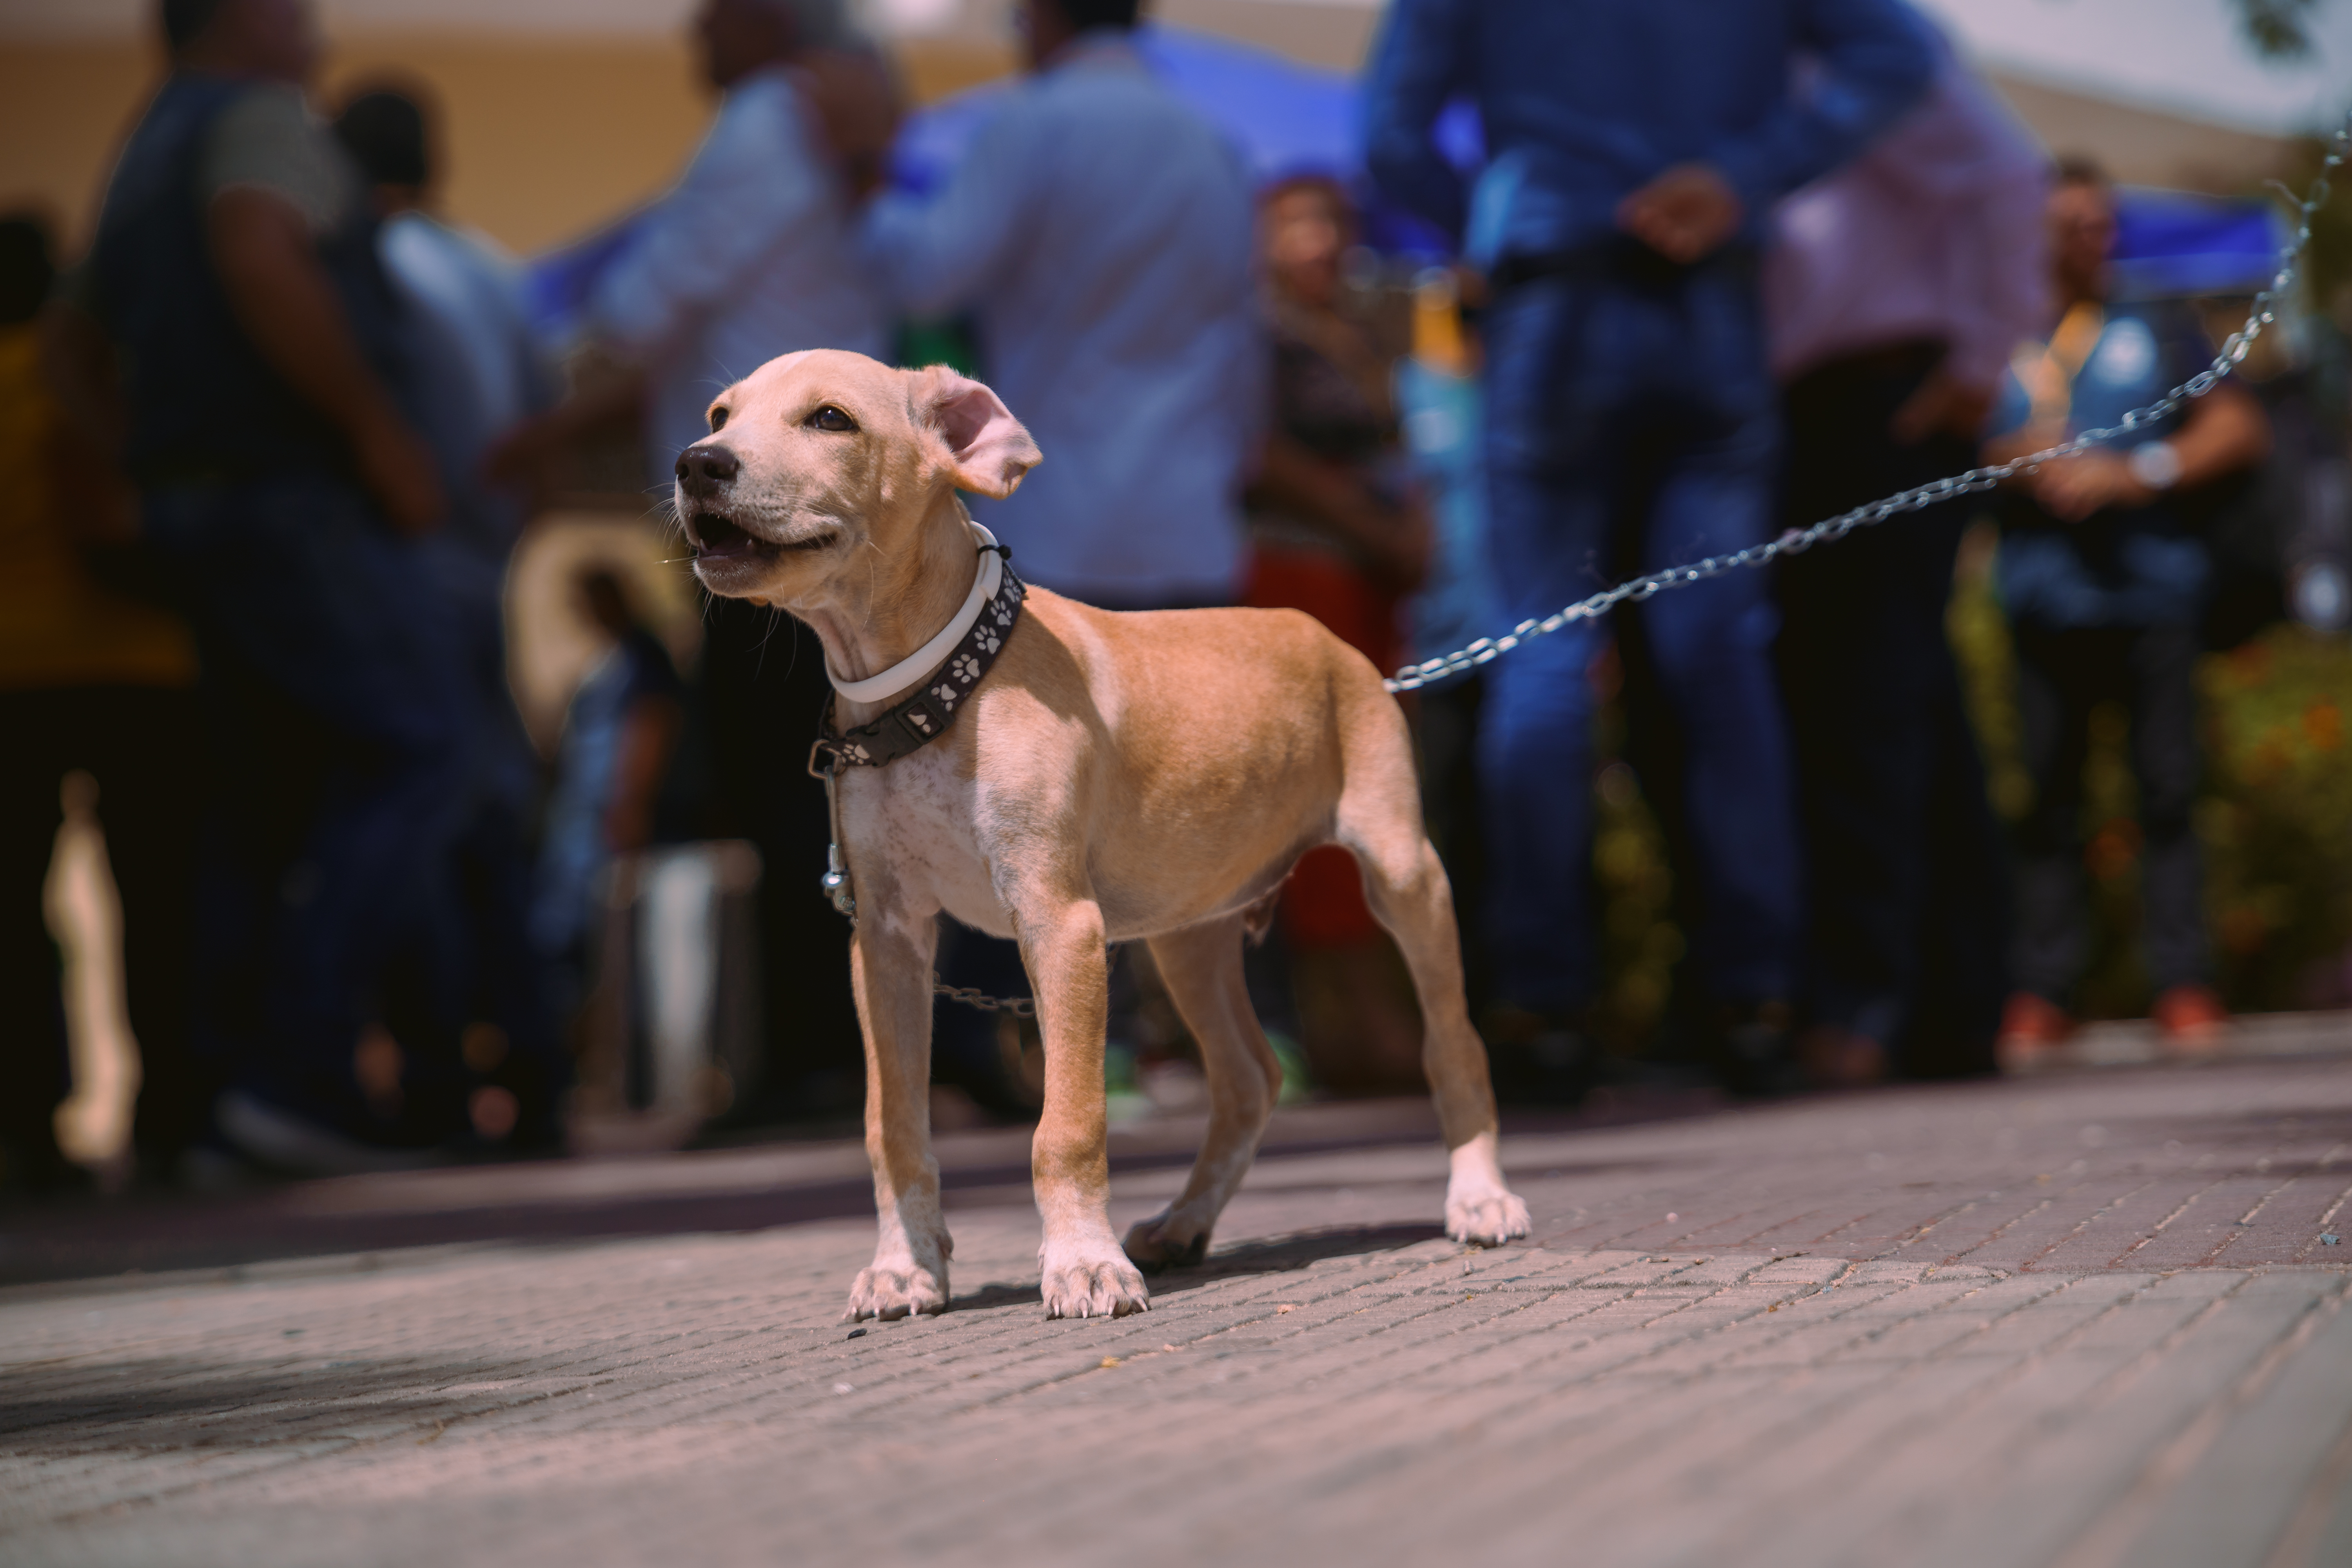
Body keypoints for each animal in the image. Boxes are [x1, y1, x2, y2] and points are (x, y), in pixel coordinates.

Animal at [673, 350, 1534, 1316]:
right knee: (1251, 1079)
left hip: (1404, 871)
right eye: (720, 414)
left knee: (1452, 1042)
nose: (697, 464)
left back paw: (1481, 1196)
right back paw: (1185, 1223)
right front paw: (905, 1267)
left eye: (830, 419)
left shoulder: (1062, 925)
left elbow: (1068, 1122)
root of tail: (1330, 642)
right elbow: (892, 1125)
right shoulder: (886, 939)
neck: (938, 694)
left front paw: (1083, 1263)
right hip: (1188, 931)